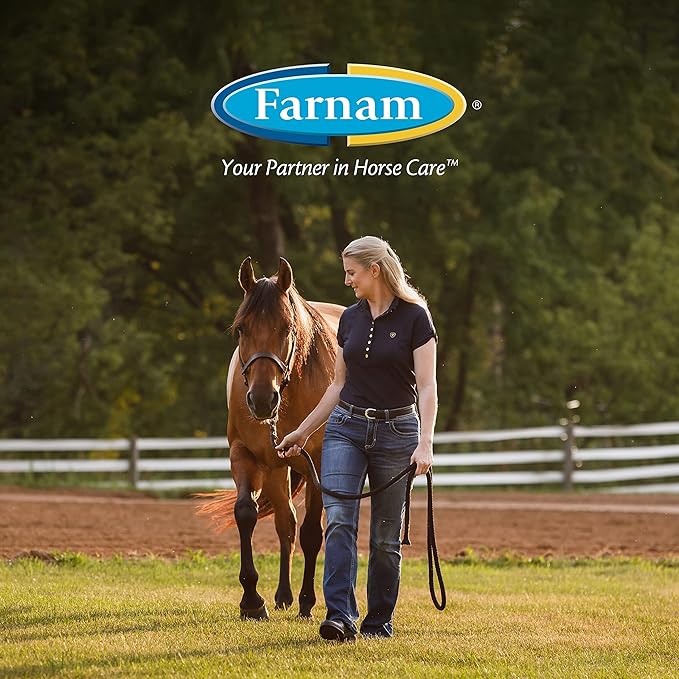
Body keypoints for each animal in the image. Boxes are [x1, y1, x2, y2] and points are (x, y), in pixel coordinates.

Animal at [198, 256, 344, 620]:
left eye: (287, 328)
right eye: (241, 329)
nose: (263, 400)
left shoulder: (317, 463)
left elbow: (311, 534)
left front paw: (307, 602)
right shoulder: (245, 455)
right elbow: (246, 514)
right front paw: (252, 600)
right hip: (278, 469)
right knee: (284, 523)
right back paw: (282, 595)